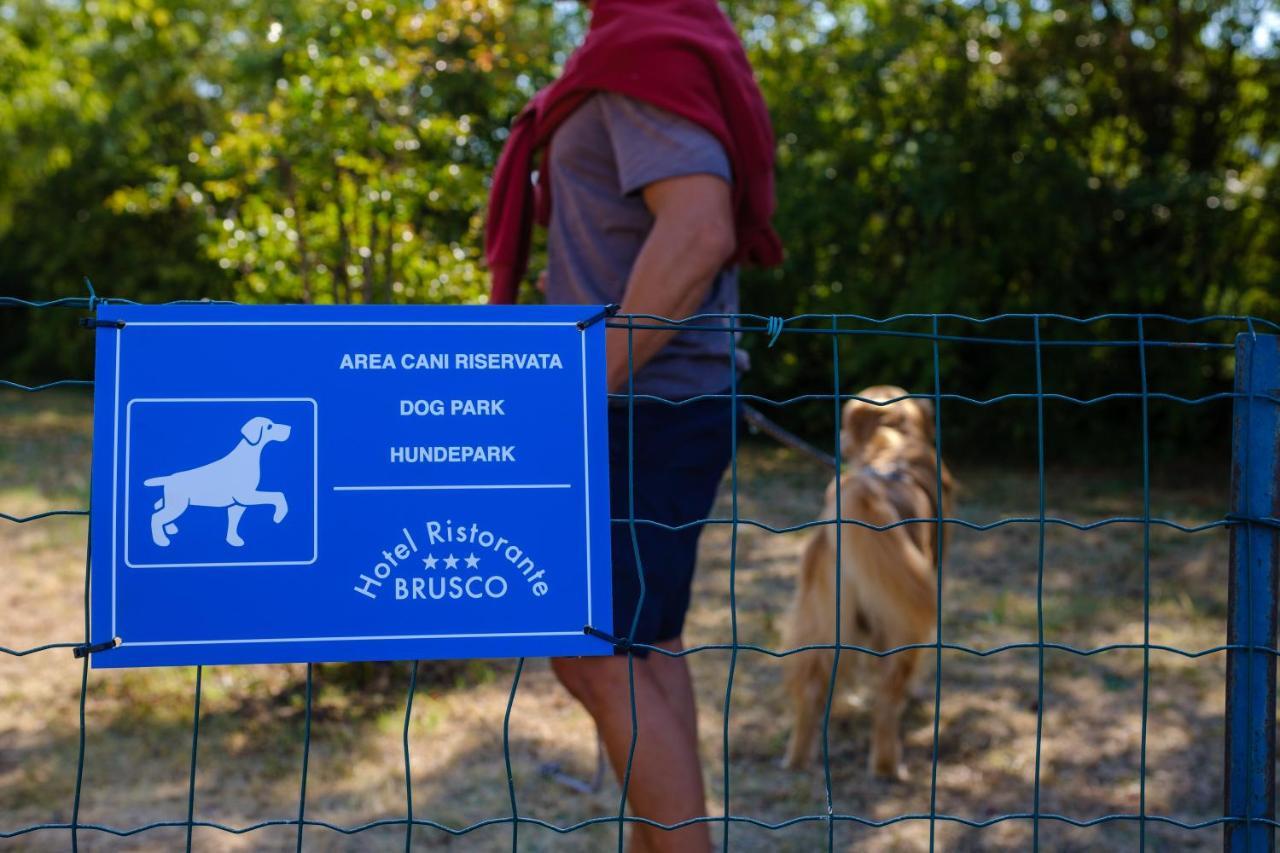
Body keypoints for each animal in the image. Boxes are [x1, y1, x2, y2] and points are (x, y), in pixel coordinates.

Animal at [778, 384, 952, 778]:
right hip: (899, 626)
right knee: (887, 700)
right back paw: (888, 764)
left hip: (821, 619)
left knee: (811, 688)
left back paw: (798, 757)